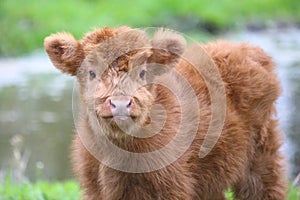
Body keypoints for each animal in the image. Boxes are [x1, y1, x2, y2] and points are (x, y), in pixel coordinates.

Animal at [44, 27, 286, 200]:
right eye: (92, 72)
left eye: (142, 72)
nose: (120, 104)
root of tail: (246, 49)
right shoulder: (94, 189)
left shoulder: (171, 187)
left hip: (261, 159)